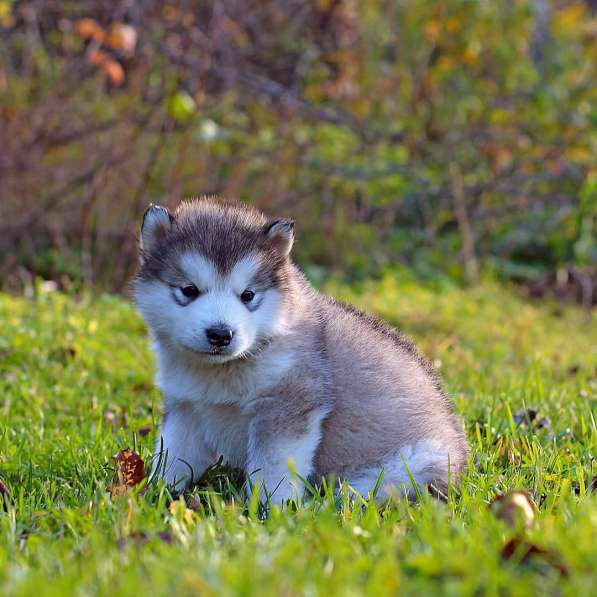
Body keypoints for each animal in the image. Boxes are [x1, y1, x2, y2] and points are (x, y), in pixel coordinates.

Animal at [133, 198, 468, 500]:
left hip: (411, 464)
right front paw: (157, 493)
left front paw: (270, 511)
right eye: (189, 290)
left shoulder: (288, 407)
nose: (220, 334)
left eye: (248, 295)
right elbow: (174, 454)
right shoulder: (187, 407)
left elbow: (273, 471)